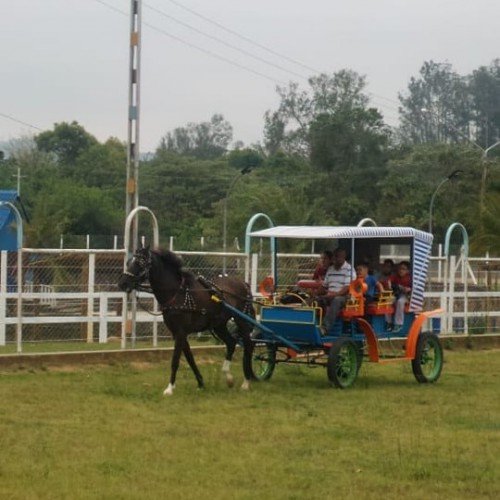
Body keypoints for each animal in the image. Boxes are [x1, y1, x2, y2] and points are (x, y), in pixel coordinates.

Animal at [117, 246, 256, 394]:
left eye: (140, 263)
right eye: (129, 262)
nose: (122, 283)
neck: (177, 293)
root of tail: (243, 283)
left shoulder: (180, 332)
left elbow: (175, 360)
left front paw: (169, 388)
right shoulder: (178, 333)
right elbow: (190, 358)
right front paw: (200, 383)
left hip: (241, 320)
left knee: (248, 344)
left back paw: (246, 381)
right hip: (219, 325)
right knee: (231, 343)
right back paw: (228, 376)